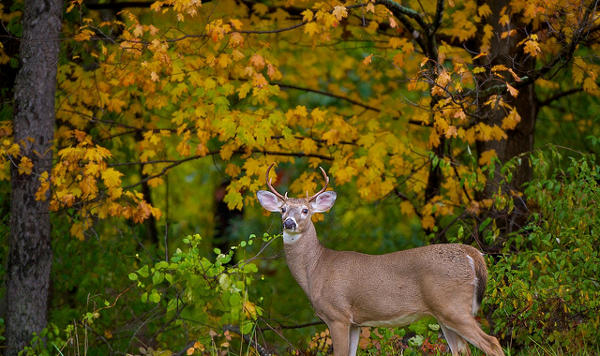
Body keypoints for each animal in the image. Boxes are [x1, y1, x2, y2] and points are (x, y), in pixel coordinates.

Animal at [255, 165, 504, 356]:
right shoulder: (356, 323)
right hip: (444, 314)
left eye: (306, 210)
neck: (315, 269)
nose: (289, 223)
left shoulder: (337, 314)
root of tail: (471, 254)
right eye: (282, 209)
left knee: (492, 343)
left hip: (453, 306)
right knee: (463, 350)